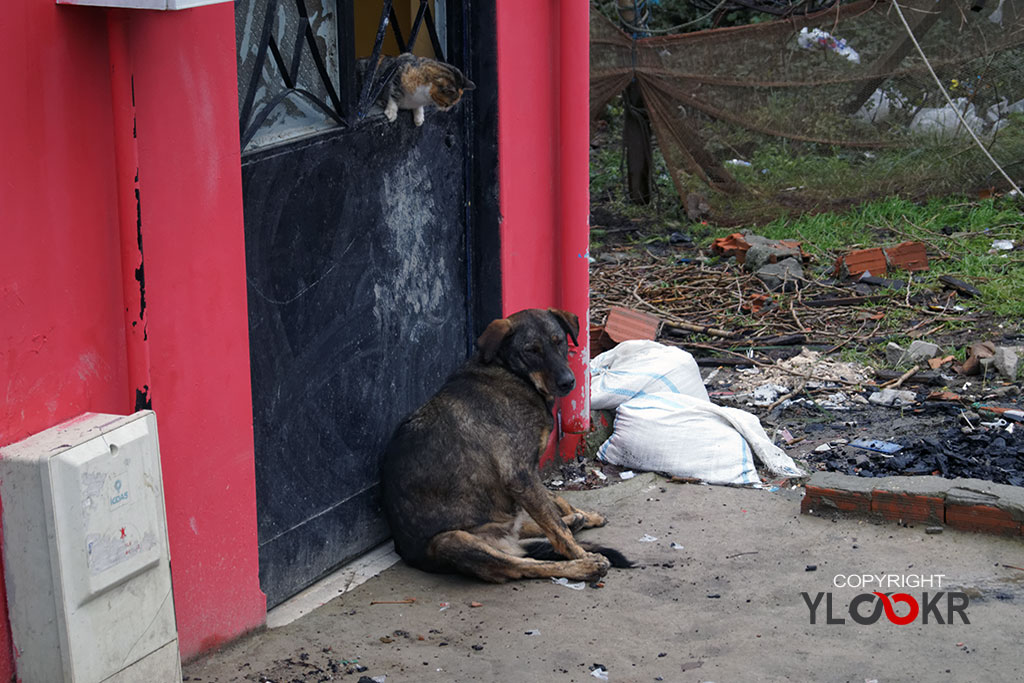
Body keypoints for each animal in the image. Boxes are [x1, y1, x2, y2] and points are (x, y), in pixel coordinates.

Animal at [380, 309, 626, 581]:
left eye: (559, 342)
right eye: (531, 350)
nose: (568, 382)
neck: (511, 373)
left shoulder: (529, 474)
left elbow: (554, 503)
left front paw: (585, 515)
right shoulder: (519, 476)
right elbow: (558, 530)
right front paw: (581, 554)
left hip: (504, 523)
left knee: (531, 530)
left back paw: (577, 519)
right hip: (452, 540)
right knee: (526, 565)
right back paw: (584, 564)